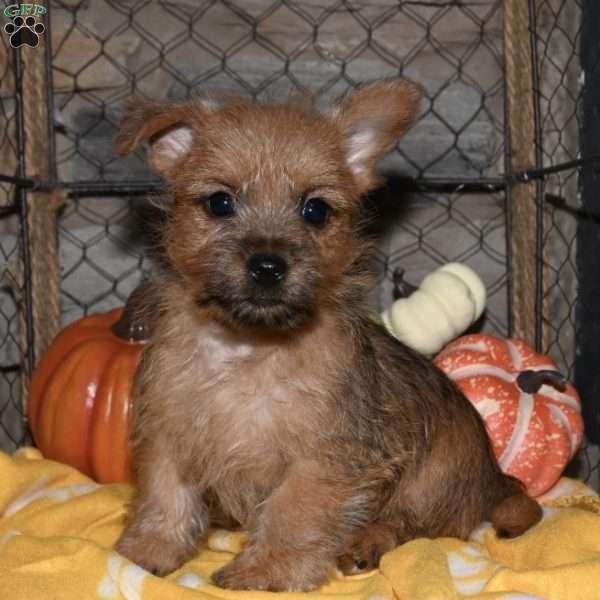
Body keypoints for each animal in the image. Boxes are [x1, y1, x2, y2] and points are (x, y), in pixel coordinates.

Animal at [113, 82, 544, 592]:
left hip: (430, 482)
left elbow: (292, 512)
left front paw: (265, 571)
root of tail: (495, 477)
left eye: (315, 210)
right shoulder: (168, 433)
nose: (268, 265)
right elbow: (165, 496)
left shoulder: (320, 459)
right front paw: (149, 551)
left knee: (409, 527)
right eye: (220, 203)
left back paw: (365, 543)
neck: (247, 349)